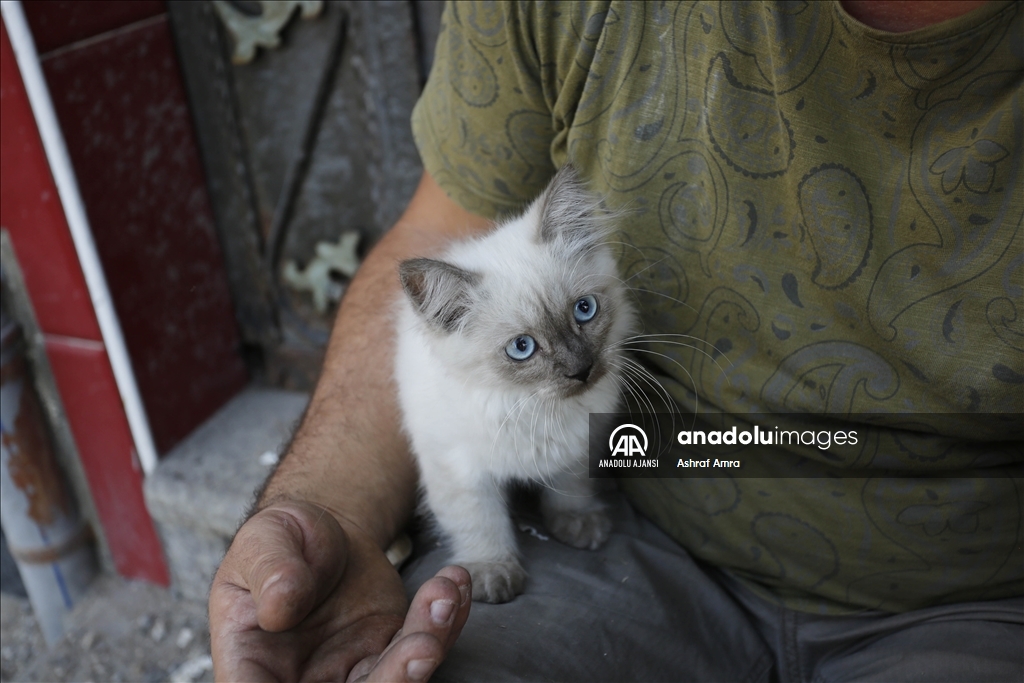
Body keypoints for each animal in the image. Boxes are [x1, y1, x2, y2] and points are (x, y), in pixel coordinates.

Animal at [391, 165, 630, 602]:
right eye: (522, 348)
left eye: (584, 310)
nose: (581, 370)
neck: (529, 404)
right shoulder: (457, 469)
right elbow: (480, 522)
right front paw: (490, 575)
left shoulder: (579, 446)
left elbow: (569, 488)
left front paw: (578, 524)